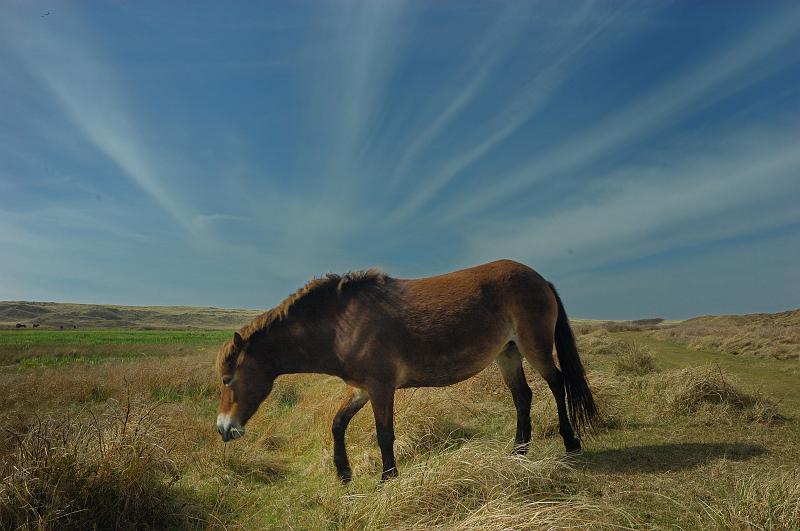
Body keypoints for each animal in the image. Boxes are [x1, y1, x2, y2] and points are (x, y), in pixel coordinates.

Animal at [216, 260, 596, 484]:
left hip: (535, 348)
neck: (341, 323)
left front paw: (388, 478)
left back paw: (570, 442)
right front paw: (344, 473)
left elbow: (384, 434)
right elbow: (338, 424)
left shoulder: (381, 388)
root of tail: (540, 279)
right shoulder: (361, 388)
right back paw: (518, 452)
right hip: (508, 354)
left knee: (557, 384)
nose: (223, 429)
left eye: (227, 379)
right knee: (522, 397)